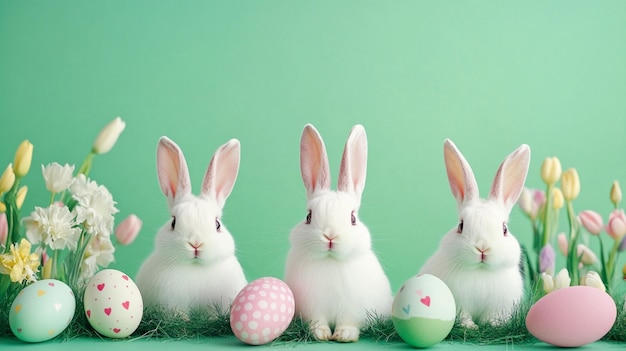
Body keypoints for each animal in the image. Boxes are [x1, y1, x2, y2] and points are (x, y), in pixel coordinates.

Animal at [136, 137, 246, 316]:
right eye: (173, 222)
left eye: (217, 224)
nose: (196, 244)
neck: (195, 268)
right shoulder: (170, 303)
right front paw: (185, 319)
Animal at [284, 124, 390, 344]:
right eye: (308, 216)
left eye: (352, 218)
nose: (330, 236)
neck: (330, 261)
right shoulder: (312, 307)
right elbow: (317, 321)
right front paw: (321, 334)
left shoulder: (351, 308)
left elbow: (348, 322)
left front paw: (344, 335)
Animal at [416, 138, 528, 330]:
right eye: (461, 226)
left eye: (504, 229)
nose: (482, 248)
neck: (480, 271)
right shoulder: (459, 303)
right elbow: (463, 317)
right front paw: (471, 327)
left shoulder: (500, 306)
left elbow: (493, 317)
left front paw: (492, 325)